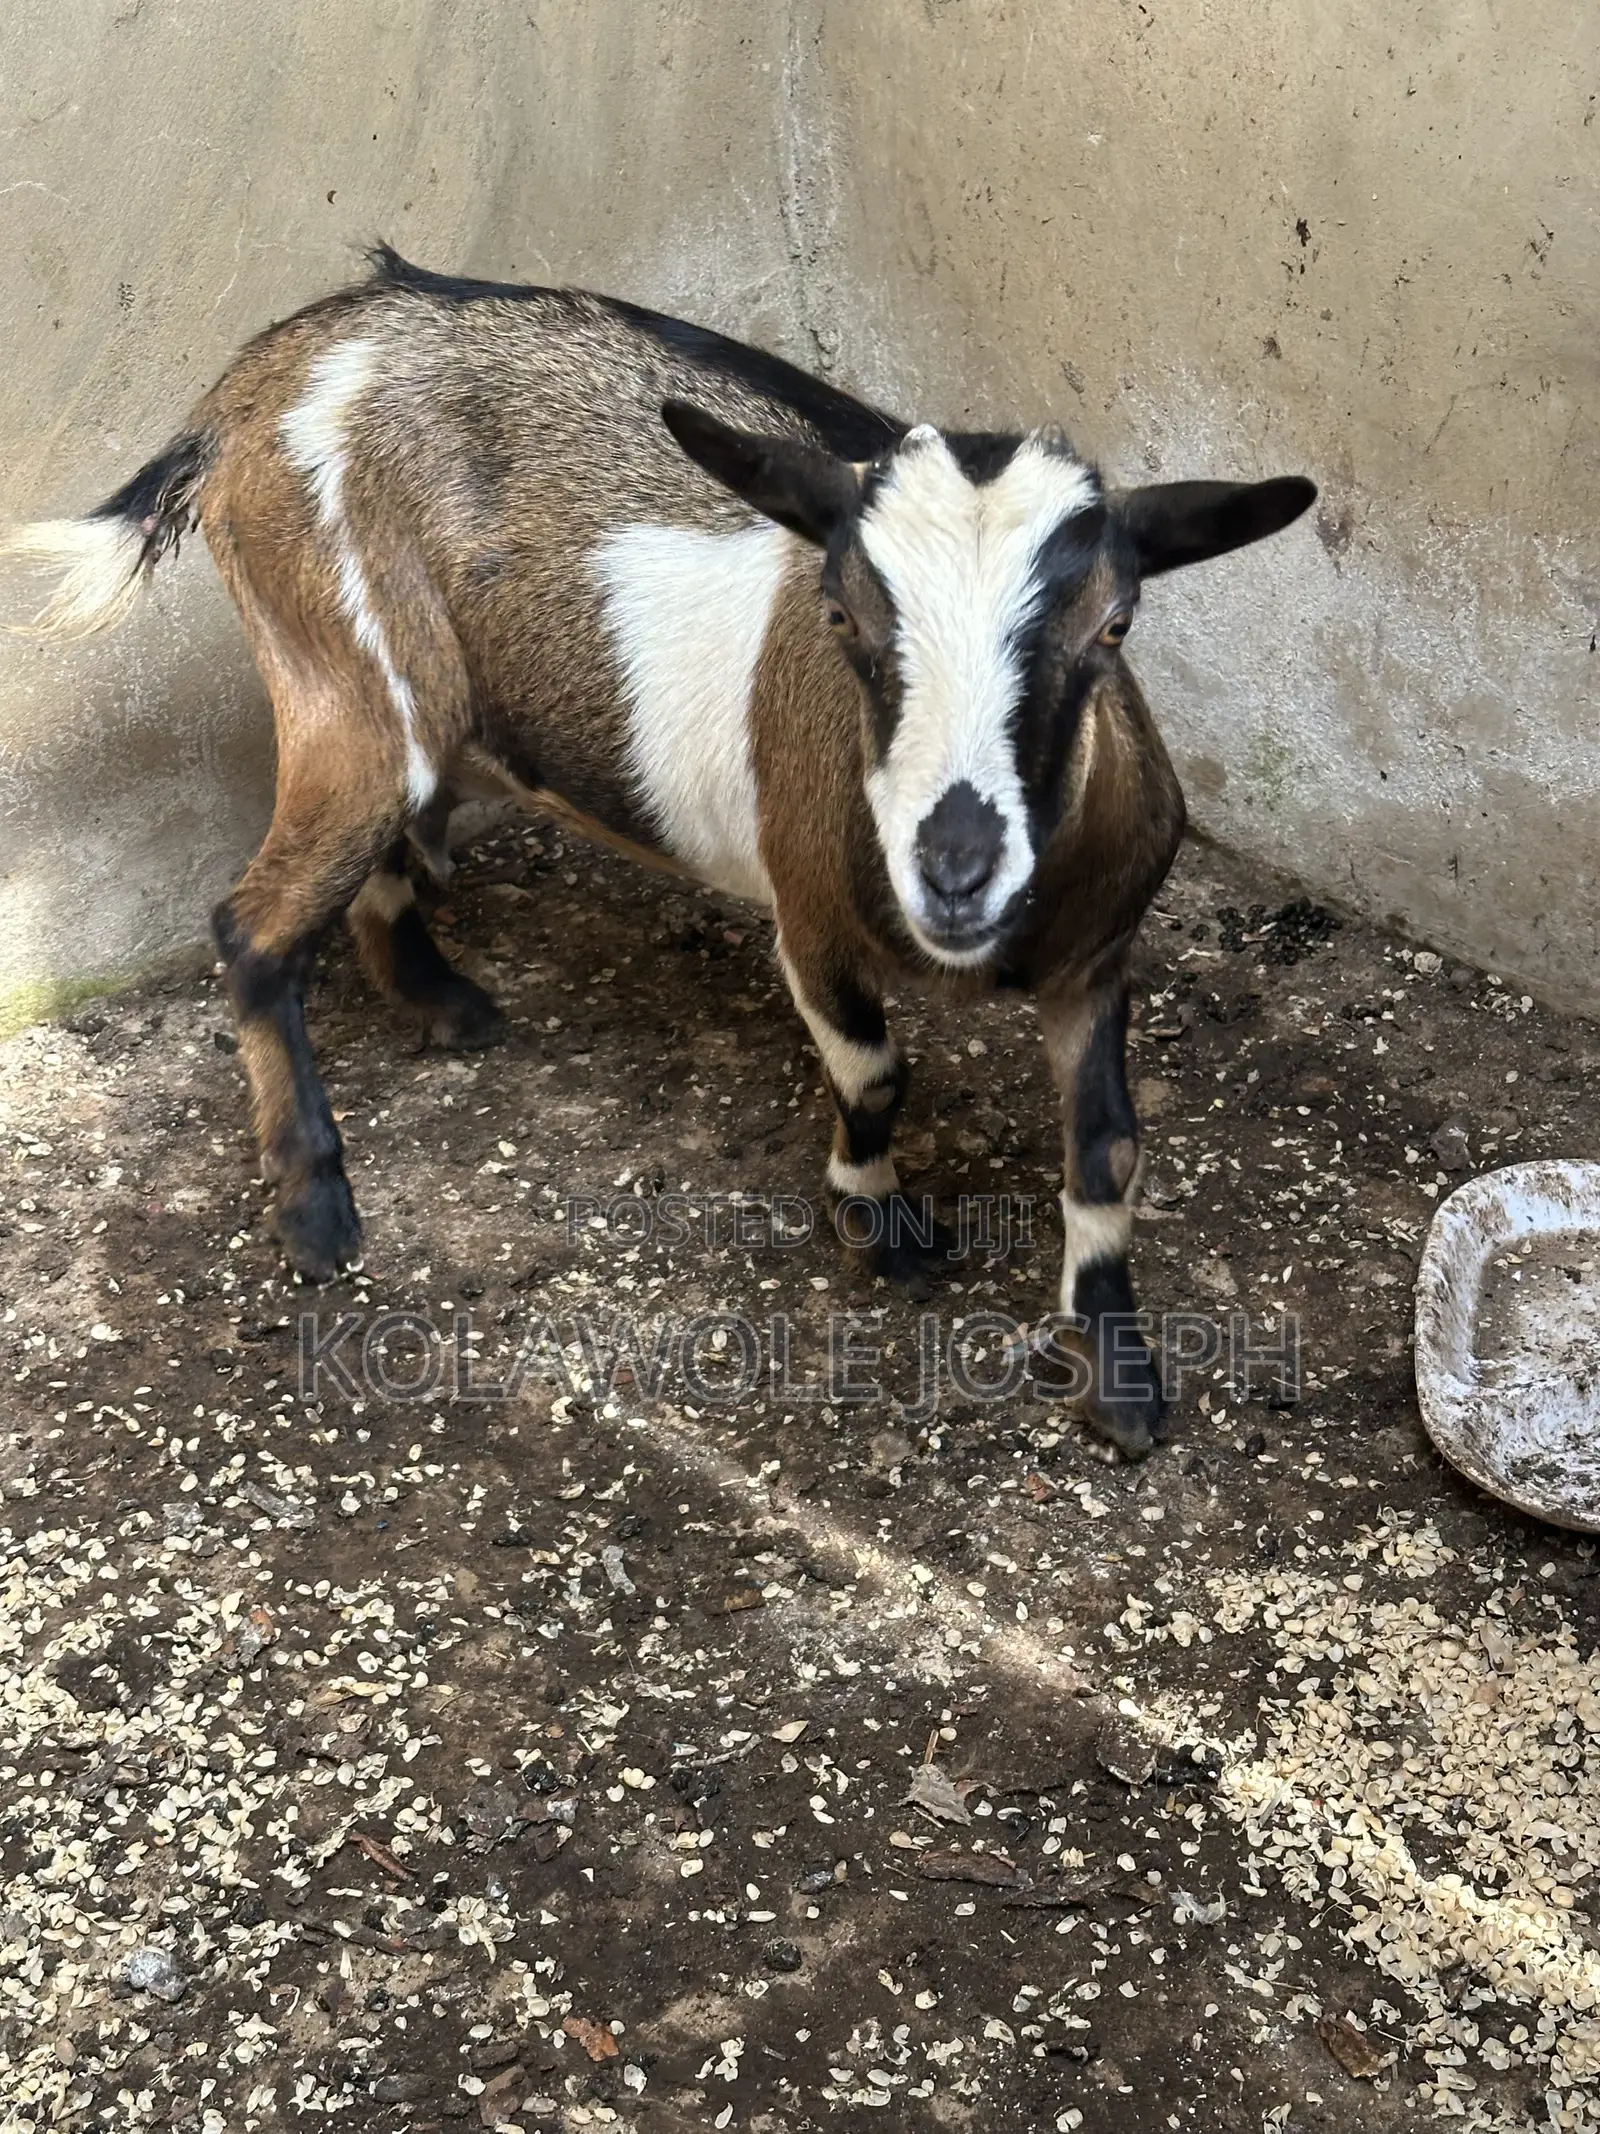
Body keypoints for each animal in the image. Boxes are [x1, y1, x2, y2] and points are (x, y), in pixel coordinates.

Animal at [4, 245, 1313, 1457]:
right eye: (841, 615)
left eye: (1113, 624)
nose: (954, 869)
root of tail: (258, 377)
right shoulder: (811, 918)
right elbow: (875, 1075)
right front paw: (877, 1227)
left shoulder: (1096, 958)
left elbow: (1108, 1148)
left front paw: (1121, 1378)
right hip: (338, 669)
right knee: (255, 925)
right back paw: (317, 1208)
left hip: (399, 714)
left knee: (371, 849)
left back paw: (439, 1000)